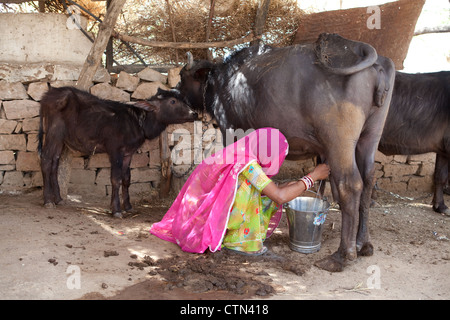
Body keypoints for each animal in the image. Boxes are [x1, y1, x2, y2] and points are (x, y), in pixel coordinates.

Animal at [39, 86, 199, 219]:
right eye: (172, 101)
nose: (194, 113)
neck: (137, 121)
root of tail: (48, 95)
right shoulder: (115, 151)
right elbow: (116, 179)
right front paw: (116, 209)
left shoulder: (128, 153)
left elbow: (127, 178)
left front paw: (128, 206)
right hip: (53, 133)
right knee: (46, 160)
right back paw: (48, 201)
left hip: (61, 140)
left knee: (55, 162)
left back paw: (58, 199)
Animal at [178, 33, 396, 272]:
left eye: (182, 76)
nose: (177, 94)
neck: (222, 81)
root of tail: (358, 49)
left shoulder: (230, 132)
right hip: (369, 137)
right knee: (367, 181)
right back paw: (362, 244)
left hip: (340, 142)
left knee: (350, 185)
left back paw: (342, 255)